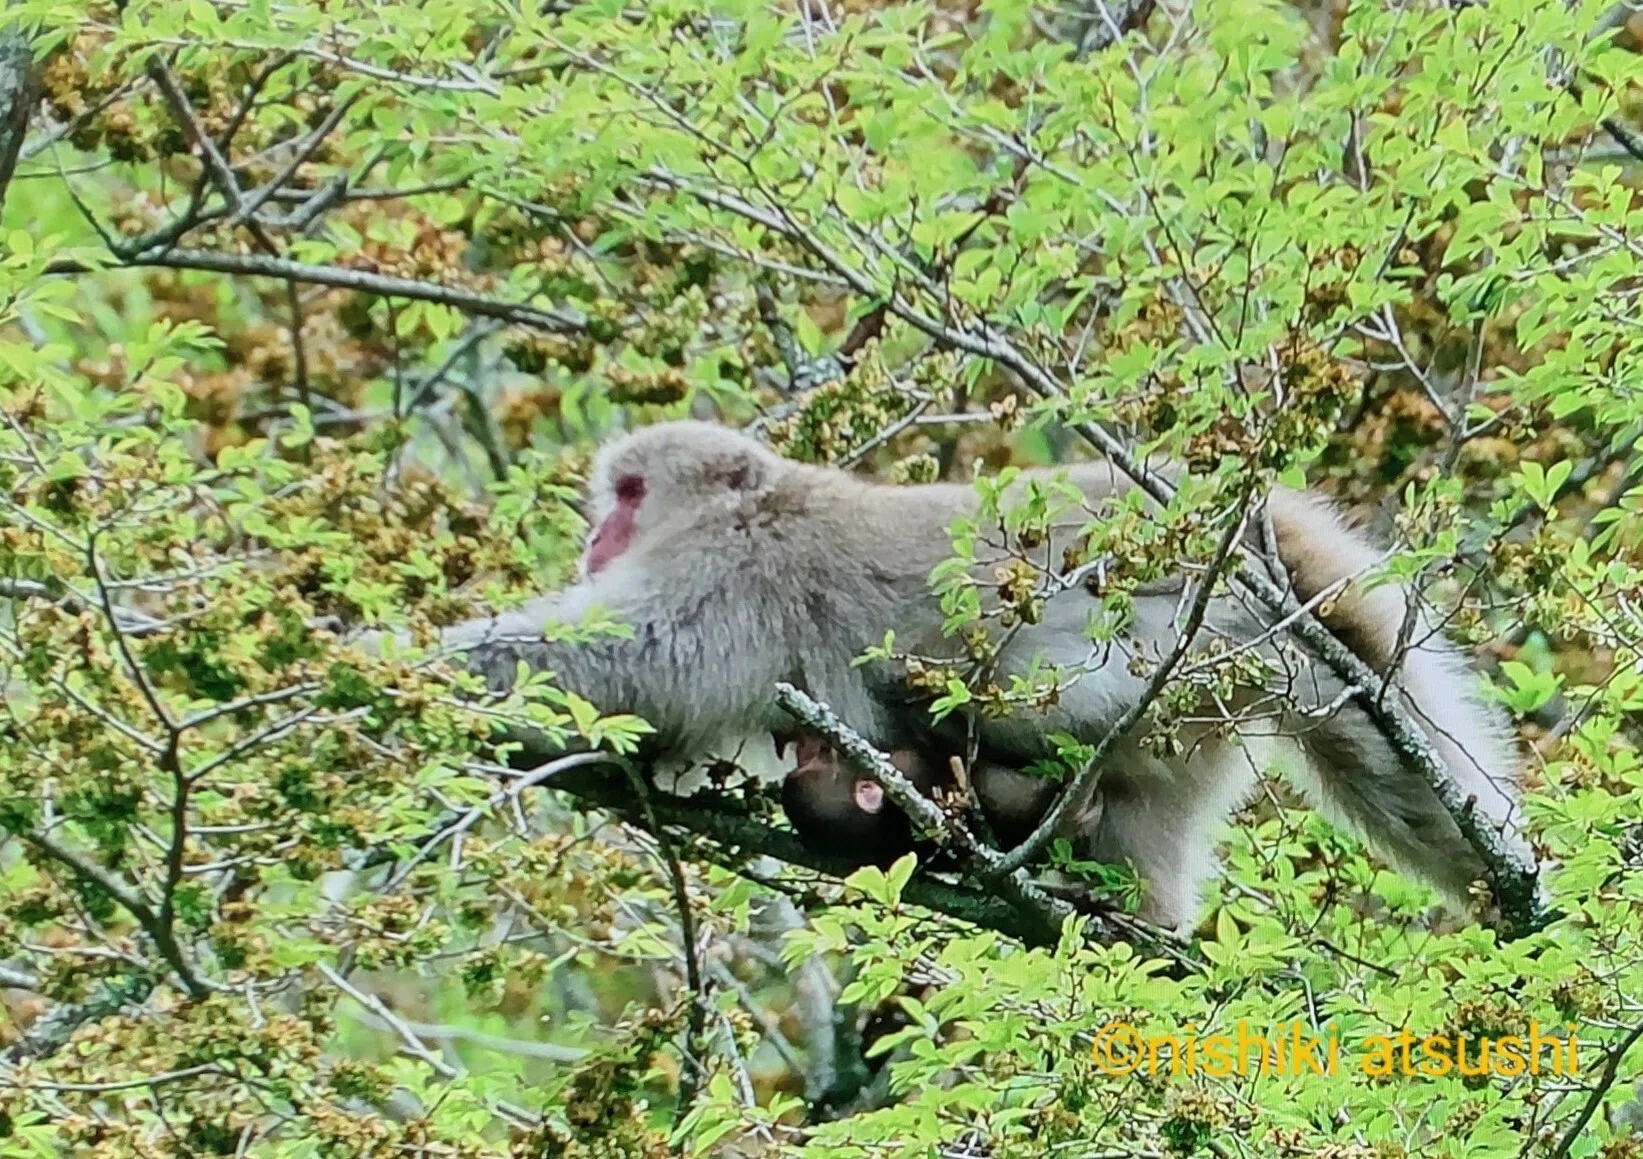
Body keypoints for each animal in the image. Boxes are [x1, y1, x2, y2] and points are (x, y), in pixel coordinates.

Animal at [440, 420, 1529, 932]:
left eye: (628, 492)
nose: (596, 539)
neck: (757, 504)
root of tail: (1266, 530)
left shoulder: (736, 574)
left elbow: (635, 660)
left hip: (1183, 641)